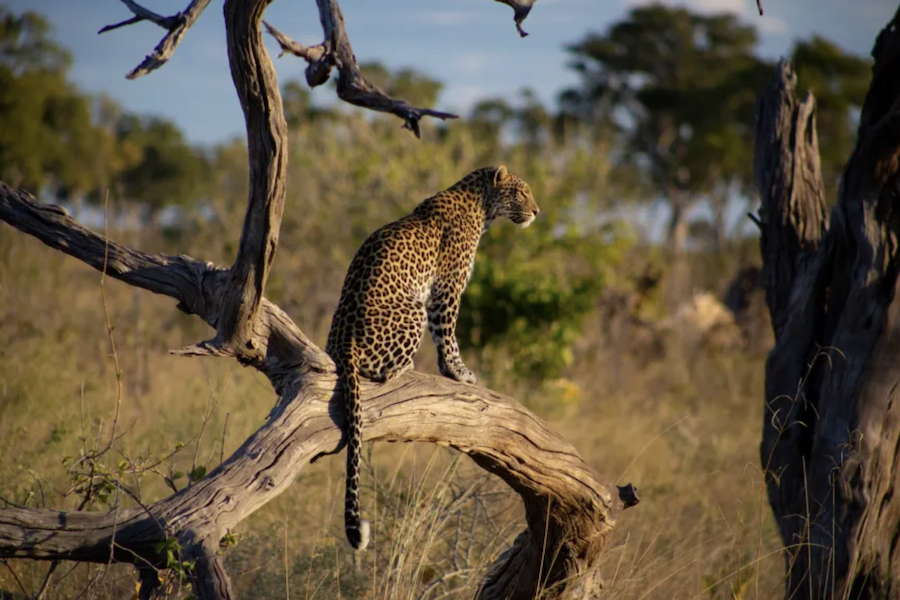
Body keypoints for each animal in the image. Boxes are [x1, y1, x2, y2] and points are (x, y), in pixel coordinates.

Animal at [326, 164, 536, 548]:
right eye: (520, 193)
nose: (537, 211)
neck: (481, 204)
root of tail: (342, 343)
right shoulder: (448, 287)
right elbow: (448, 335)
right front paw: (458, 372)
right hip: (413, 310)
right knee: (380, 371)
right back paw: (406, 366)